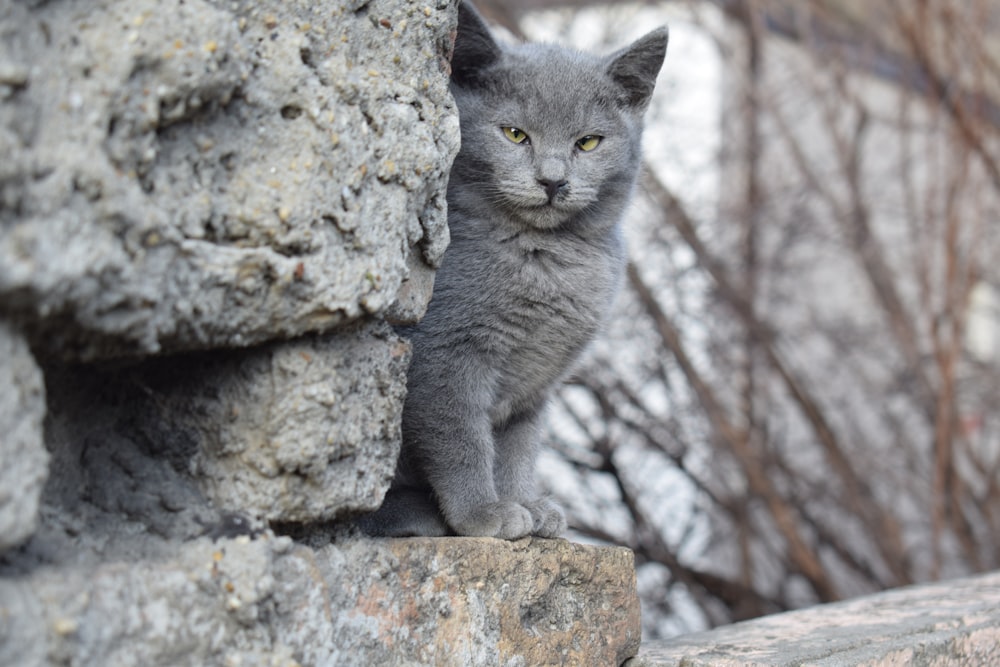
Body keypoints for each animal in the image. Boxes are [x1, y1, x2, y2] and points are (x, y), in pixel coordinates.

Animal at [358, 2, 664, 540]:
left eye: (588, 143)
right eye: (514, 134)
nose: (553, 180)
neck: (545, 259)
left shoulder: (536, 385)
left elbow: (518, 447)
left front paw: (524, 503)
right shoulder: (443, 356)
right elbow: (461, 438)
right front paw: (484, 513)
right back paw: (418, 513)